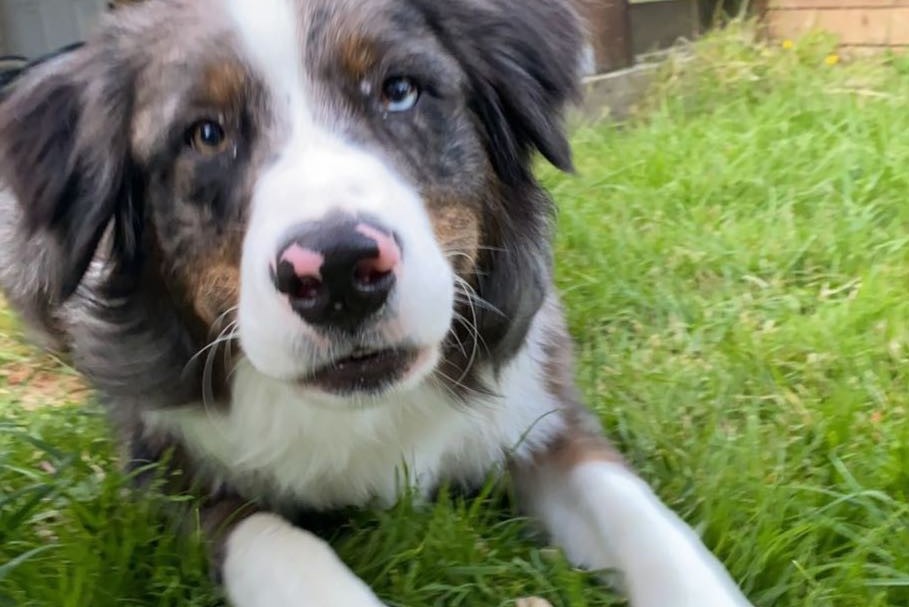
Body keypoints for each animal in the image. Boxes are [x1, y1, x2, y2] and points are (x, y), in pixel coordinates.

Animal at [0, 1, 752, 607]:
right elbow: (281, 545)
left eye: (398, 91)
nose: (337, 272)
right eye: (205, 134)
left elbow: (648, 523)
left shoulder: (541, 412)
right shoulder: (165, 472)